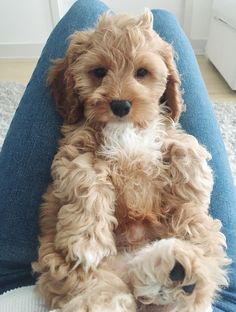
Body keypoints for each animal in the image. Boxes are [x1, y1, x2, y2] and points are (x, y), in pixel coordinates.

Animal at [33, 11, 230, 312]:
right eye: (99, 72)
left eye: (142, 73)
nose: (121, 105)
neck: (126, 129)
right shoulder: (75, 150)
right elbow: (87, 180)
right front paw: (87, 242)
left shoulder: (166, 131)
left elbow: (187, 146)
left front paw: (193, 192)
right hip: (78, 274)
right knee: (109, 293)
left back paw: (181, 271)